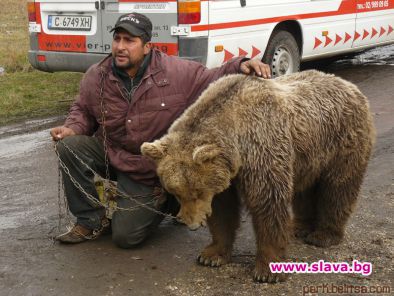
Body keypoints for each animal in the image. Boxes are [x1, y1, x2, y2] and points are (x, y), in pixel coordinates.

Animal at [140, 69, 374, 282]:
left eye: (197, 192)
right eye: (175, 192)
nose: (190, 222)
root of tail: (350, 86)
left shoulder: (261, 149)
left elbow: (267, 204)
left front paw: (268, 271)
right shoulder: (227, 174)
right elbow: (223, 210)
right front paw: (211, 255)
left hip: (342, 141)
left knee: (338, 188)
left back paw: (323, 235)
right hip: (307, 154)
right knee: (305, 189)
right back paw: (298, 227)